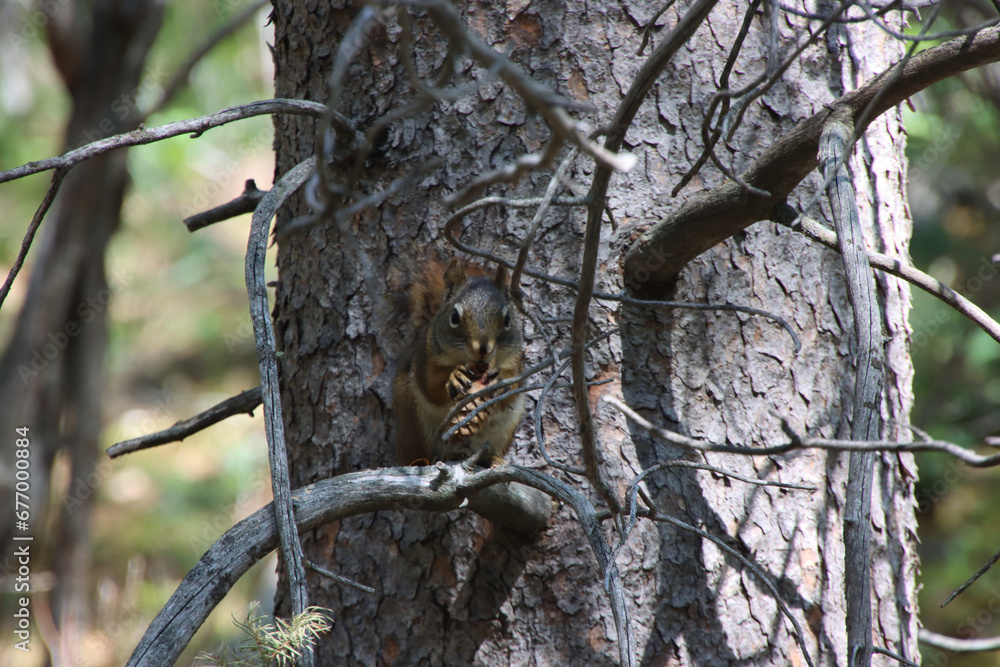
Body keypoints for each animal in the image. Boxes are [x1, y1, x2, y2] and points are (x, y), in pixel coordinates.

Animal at [393, 257, 525, 467]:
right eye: (454, 317)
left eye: (507, 319)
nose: (482, 349)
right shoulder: (425, 359)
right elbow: (432, 384)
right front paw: (455, 377)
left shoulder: (514, 363)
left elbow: (513, 386)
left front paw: (500, 381)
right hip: (413, 421)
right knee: (423, 455)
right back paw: (440, 457)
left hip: (506, 429)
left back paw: (493, 459)